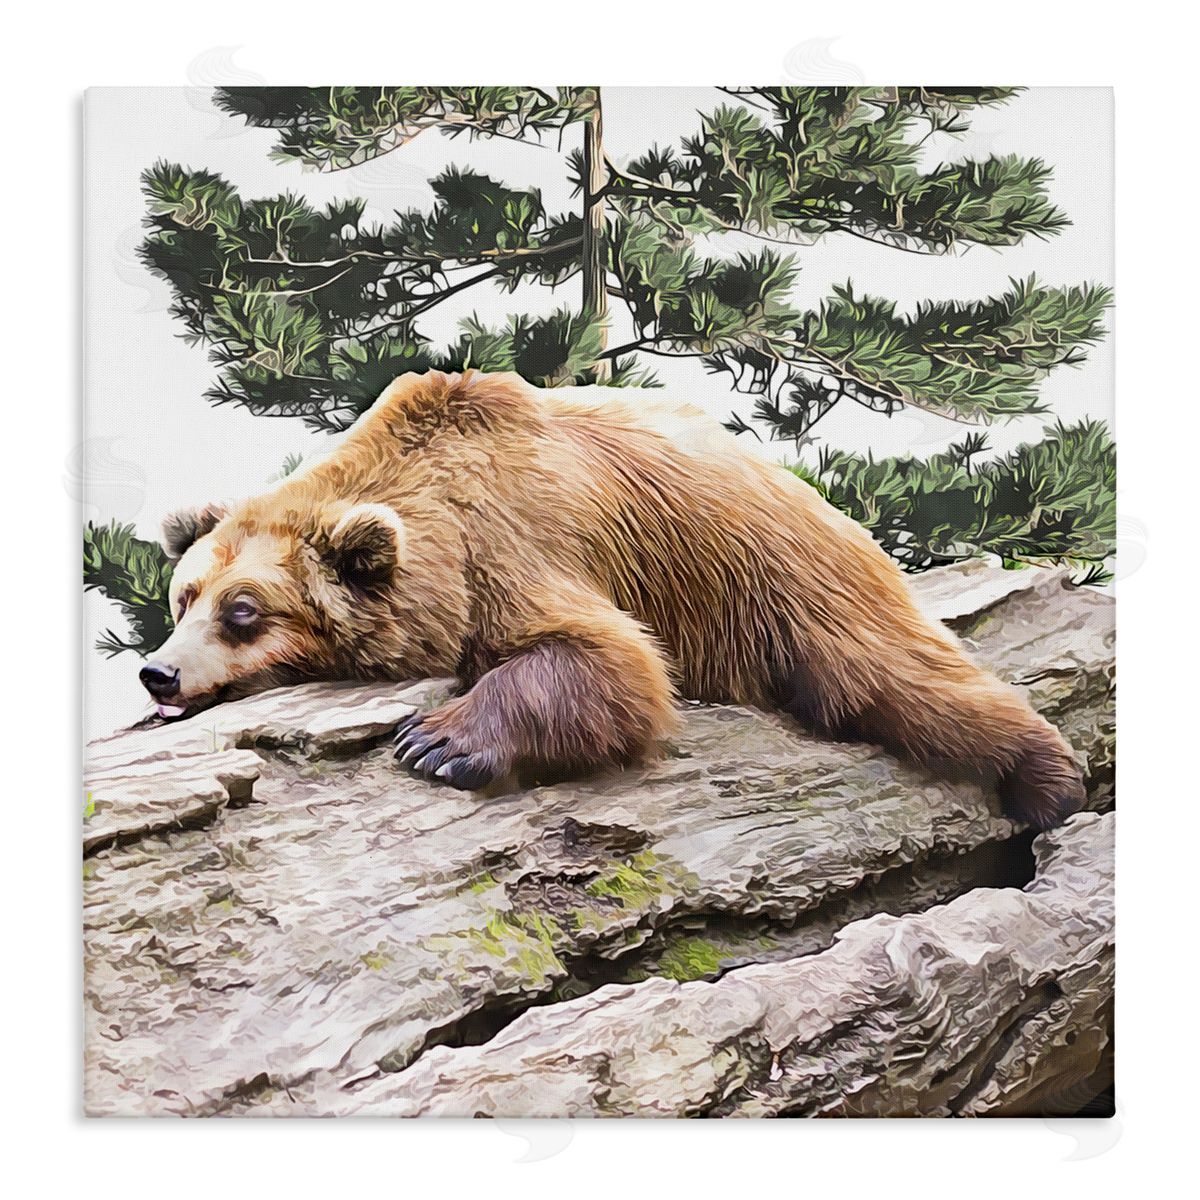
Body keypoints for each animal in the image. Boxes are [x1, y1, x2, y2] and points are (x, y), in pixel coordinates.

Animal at [143, 369, 1086, 829]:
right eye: (184, 595)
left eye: (244, 610)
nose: (159, 673)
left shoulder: (518, 539)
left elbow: (609, 660)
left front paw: (438, 743)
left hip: (782, 574)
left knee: (895, 677)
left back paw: (1050, 778)